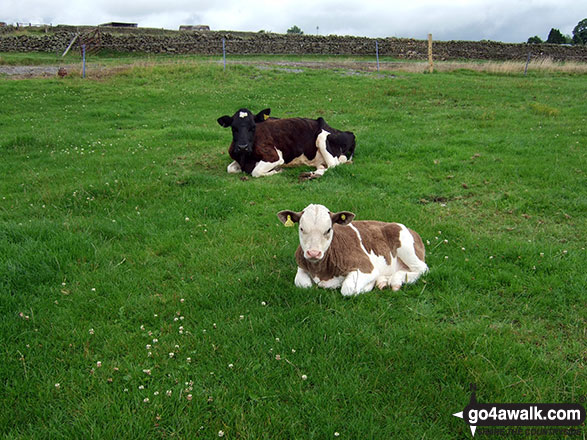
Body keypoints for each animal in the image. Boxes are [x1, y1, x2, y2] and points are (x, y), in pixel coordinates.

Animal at [218, 108, 356, 177]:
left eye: (253, 127)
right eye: (233, 128)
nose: (243, 147)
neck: (245, 158)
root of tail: (349, 133)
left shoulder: (274, 157)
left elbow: (255, 172)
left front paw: (277, 171)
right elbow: (230, 169)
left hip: (322, 138)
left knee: (333, 165)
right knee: (324, 166)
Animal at [278, 205, 430, 296]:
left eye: (328, 229)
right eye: (301, 228)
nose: (313, 253)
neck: (321, 272)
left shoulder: (366, 267)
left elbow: (348, 289)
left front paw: (368, 286)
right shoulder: (301, 264)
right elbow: (303, 284)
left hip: (406, 247)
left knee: (422, 269)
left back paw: (396, 280)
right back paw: (383, 281)